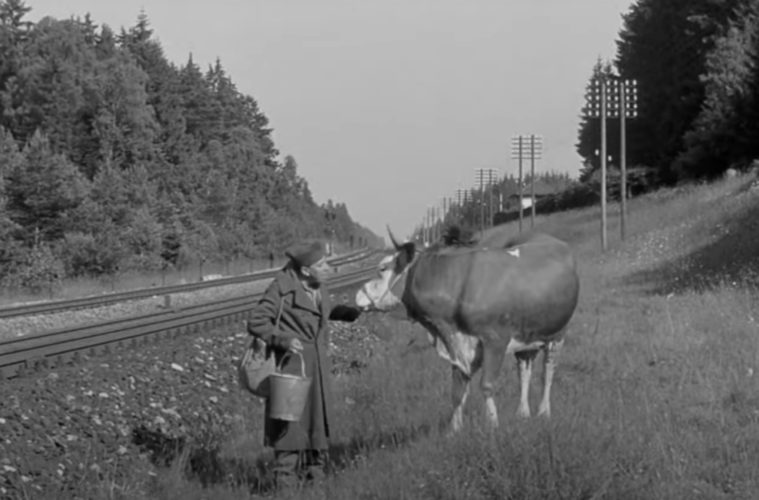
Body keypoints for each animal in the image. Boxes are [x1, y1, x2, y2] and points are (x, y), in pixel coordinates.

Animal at [356, 229, 580, 432]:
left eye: (382, 268)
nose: (357, 295)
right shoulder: (457, 342)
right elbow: (457, 389)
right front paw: (454, 429)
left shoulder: (495, 340)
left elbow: (487, 385)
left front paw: (492, 424)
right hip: (526, 335)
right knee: (524, 369)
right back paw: (523, 413)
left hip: (558, 332)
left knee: (548, 371)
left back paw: (543, 412)